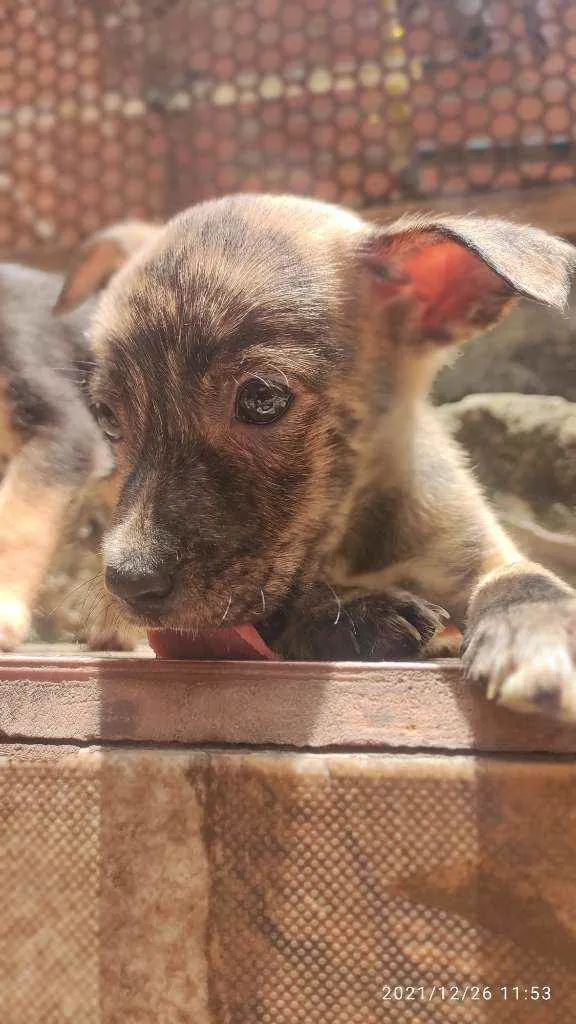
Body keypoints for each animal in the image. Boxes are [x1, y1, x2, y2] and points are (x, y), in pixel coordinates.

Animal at [56, 192, 573, 720]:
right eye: (107, 418)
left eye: (262, 398)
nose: (128, 583)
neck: (356, 542)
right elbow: (286, 615)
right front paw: (358, 616)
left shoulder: (475, 547)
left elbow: (523, 576)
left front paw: (540, 625)